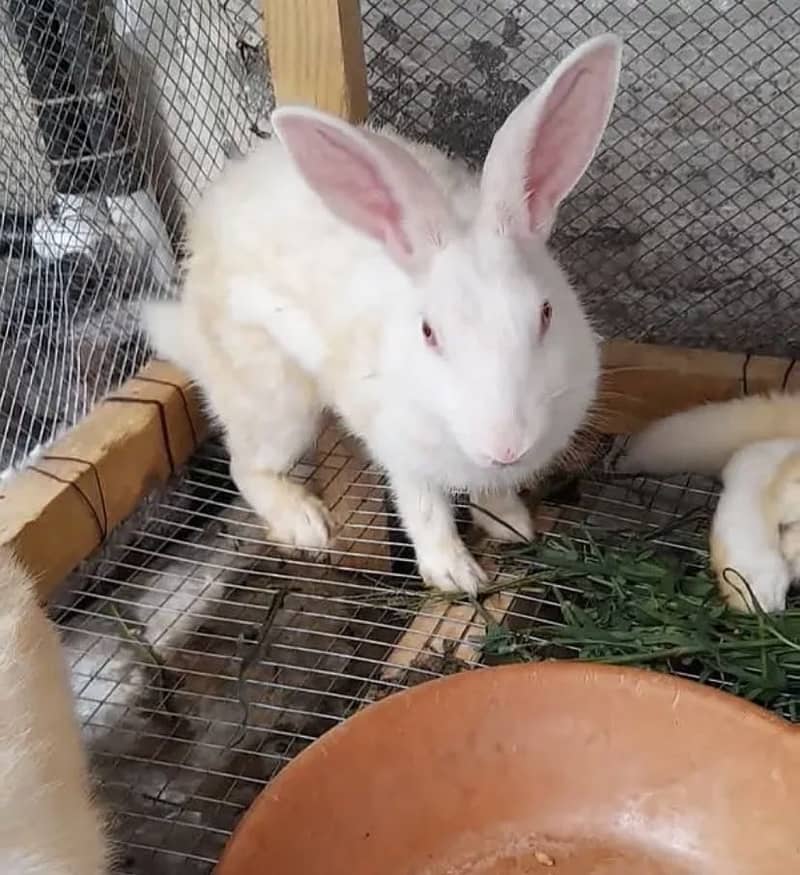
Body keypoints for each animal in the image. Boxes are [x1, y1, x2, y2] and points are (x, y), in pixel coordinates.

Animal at [142, 34, 623, 595]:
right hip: (275, 400)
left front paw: (511, 525)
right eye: (428, 331)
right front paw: (455, 575)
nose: (506, 445)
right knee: (247, 465)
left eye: (545, 313)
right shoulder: (402, 453)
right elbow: (426, 511)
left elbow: (493, 495)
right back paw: (303, 522)